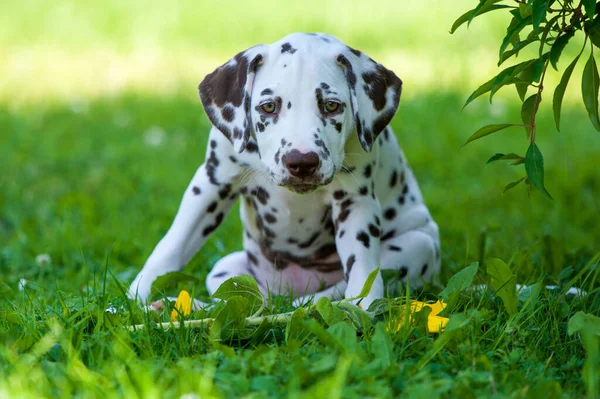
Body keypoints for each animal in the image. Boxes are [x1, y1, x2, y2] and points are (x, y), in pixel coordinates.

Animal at [129, 32, 440, 308]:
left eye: (331, 106)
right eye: (268, 107)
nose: (302, 162)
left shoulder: (354, 202)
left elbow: (363, 268)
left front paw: (364, 307)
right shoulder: (211, 184)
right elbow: (171, 246)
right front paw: (136, 296)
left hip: (418, 245)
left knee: (335, 289)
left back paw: (308, 304)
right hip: (227, 267)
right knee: (243, 301)